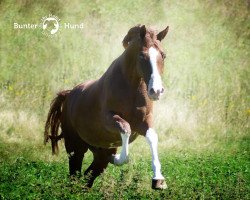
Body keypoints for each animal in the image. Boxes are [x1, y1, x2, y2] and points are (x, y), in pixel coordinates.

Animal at [45, 24, 170, 190]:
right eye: (142, 56)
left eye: (163, 55)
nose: (155, 91)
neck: (131, 87)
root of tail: (69, 94)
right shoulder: (109, 119)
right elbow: (125, 128)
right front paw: (118, 158)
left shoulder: (144, 121)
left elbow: (152, 137)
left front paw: (158, 180)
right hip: (75, 147)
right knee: (75, 174)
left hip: (98, 155)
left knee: (88, 176)